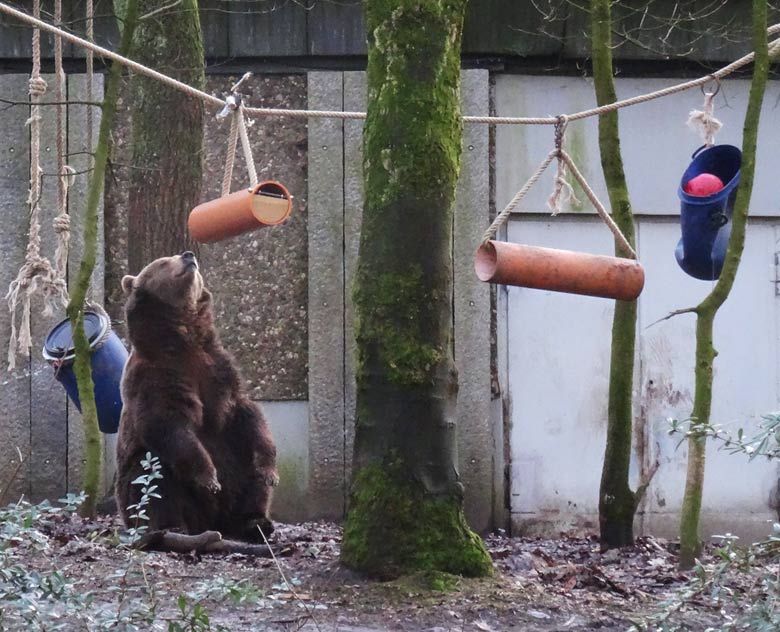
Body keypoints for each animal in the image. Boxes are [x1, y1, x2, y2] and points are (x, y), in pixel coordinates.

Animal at [114, 253, 276, 544]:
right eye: (163, 262)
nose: (188, 255)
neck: (183, 339)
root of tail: (213, 521)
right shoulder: (157, 376)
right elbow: (168, 424)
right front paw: (209, 478)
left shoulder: (219, 369)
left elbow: (247, 415)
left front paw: (269, 470)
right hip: (141, 487)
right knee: (153, 480)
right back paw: (172, 528)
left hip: (237, 474)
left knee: (249, 478)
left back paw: (256, 522)